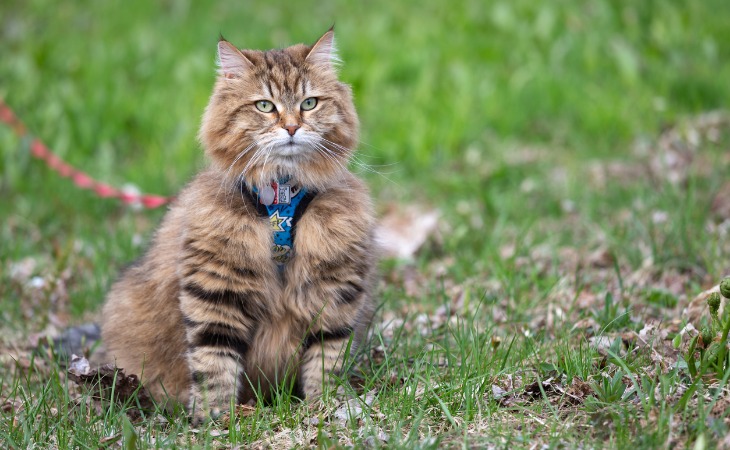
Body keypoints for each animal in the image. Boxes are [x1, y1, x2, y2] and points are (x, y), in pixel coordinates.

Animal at [99, 29, 376, 424]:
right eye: (265, 106)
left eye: (309, 103)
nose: (292, 127)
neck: (281, 195)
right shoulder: (216, 287)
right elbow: (214, 361)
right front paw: (215, 419)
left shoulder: (333, 289)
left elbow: (327, 358)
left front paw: (327, 406)